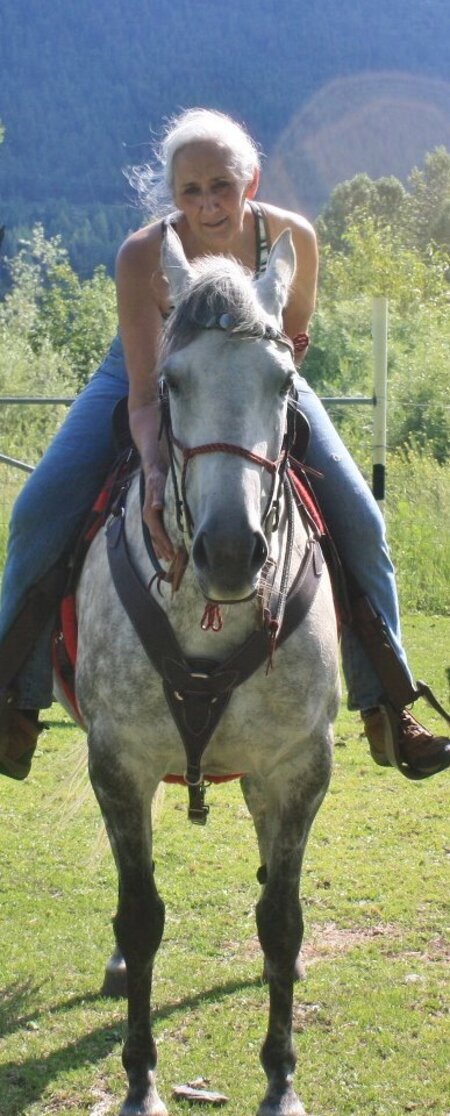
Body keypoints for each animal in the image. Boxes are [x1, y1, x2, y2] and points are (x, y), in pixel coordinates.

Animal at [69, 225, 340, 1116]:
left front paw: (281, 1079)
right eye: (173, 381)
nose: (229, 550)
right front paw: (140, 1079)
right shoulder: (117, 763)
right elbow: (140, 915)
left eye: (284, 381)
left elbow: (281, 919)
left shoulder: (299, 766)